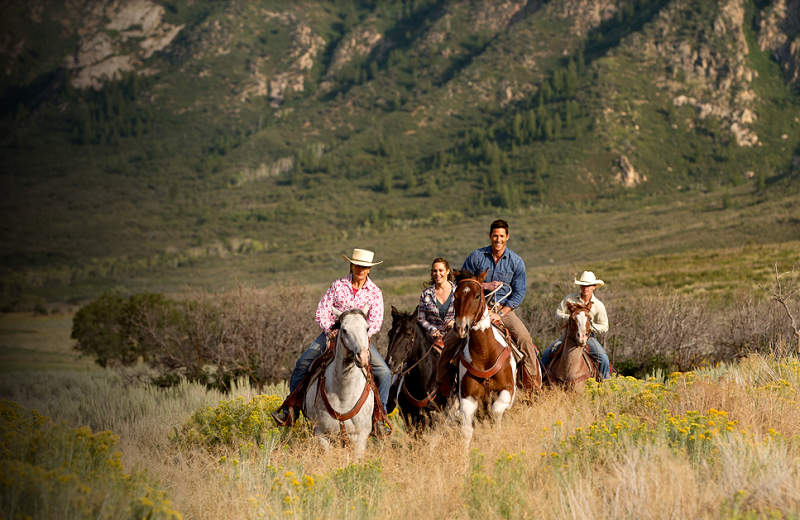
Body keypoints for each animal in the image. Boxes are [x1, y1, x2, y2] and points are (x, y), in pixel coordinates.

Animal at [304, 304, 376, 460]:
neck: (344, 396)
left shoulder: (360, 436)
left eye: (367, 328)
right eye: (344, 330)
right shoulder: (322, 434)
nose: (362, 357)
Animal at [454, 270, 516, 444]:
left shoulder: (508, 390)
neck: (485, 354)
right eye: (455, 295)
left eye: (476, 296)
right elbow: (466, 430)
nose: (461, 327)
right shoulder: (467, 398)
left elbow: (496, 411)